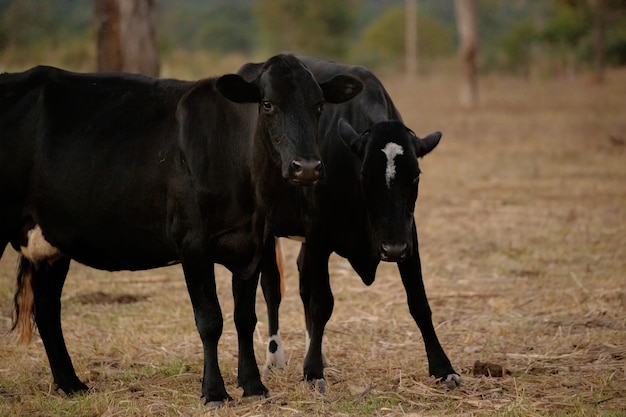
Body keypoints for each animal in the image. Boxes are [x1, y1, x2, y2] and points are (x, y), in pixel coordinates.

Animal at [1, 53, 360, 404]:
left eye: (319, 105)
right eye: (268, 104)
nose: (307, 167)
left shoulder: (252, 246)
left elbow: (244, 318)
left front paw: (253, 386)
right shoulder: (193, 245)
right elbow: (210, 320)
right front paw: (214, 392)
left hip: (51, 242)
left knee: (48, 309)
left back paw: (72, 385)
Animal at [239, 57, 458, 392]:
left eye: (415, 176)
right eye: (365, 176)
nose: (392, 250)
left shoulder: (409, 236)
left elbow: (419, 302)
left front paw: (443, 367)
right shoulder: (319, 235)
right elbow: (322, 303)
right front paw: (312, 371)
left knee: (302, 282)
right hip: (269, 232)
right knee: (273, 288)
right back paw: (275, 358)